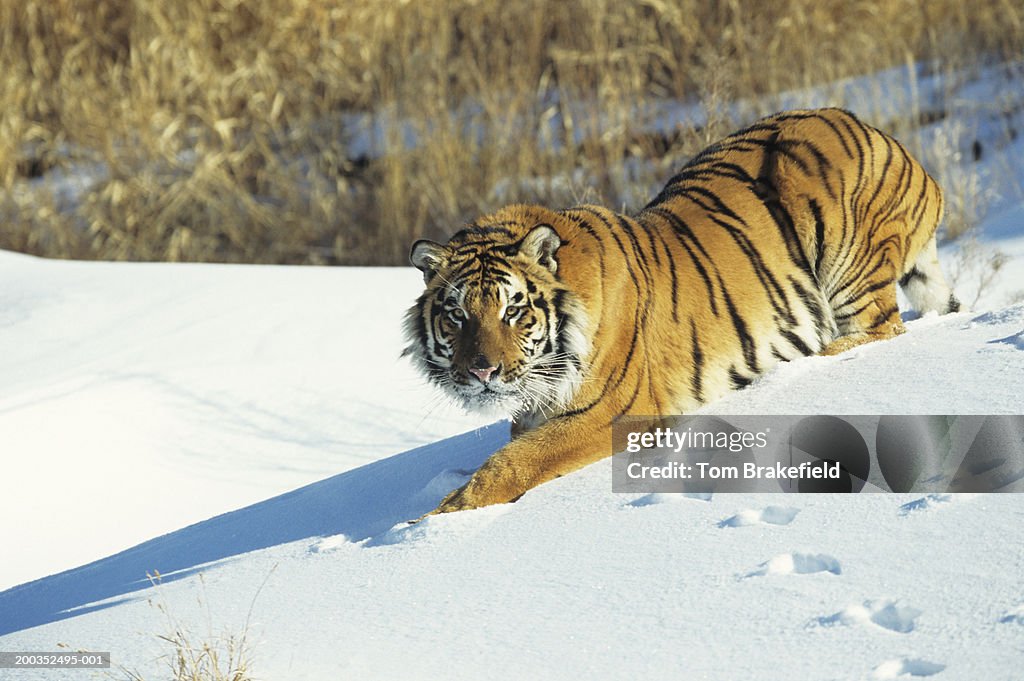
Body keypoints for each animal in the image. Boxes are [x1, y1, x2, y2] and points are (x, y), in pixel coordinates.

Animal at [405, 106, 958, 512]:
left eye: (513, 311)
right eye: (457, 316)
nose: (482, 372)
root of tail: (898, 147)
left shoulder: (615, 409)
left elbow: (515, 459)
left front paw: (436, 519)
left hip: (840, 247)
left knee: (883, 329)